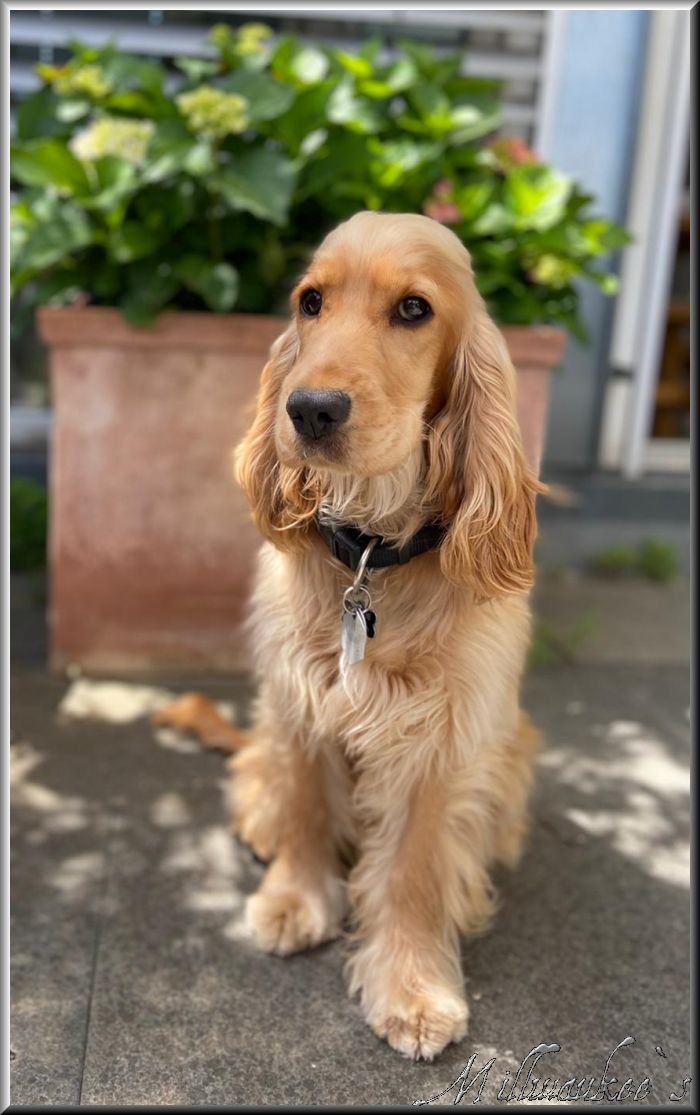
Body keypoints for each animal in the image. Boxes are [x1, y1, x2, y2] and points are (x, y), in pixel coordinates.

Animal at [166, 211, 544, 1061]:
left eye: (413, 308)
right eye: (311, 301)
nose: (310, 408)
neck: (374, 548)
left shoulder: (444, 735)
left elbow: (415, 870)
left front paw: (413, 987)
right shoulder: (299, 700)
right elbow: (306, 805)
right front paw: (294, 900)